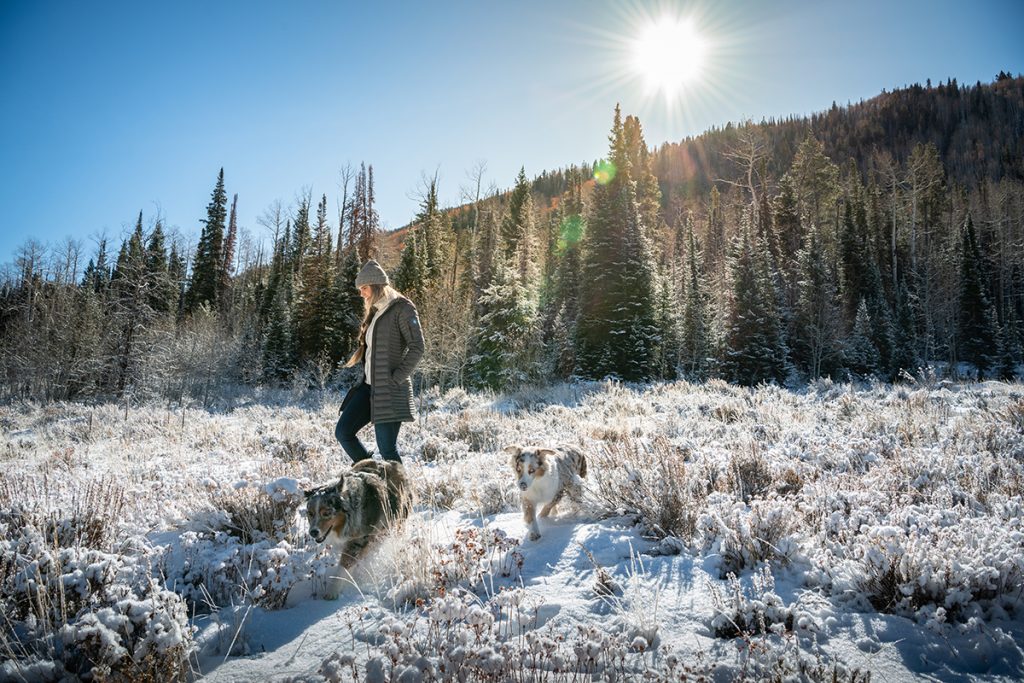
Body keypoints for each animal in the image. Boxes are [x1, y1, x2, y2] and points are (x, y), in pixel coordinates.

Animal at [303, 458, 411, 598]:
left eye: (326, 513)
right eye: (310, 513)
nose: (313, 532)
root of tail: (392, 462)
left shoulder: (359, 539)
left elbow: (345, 564)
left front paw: (333, 591)